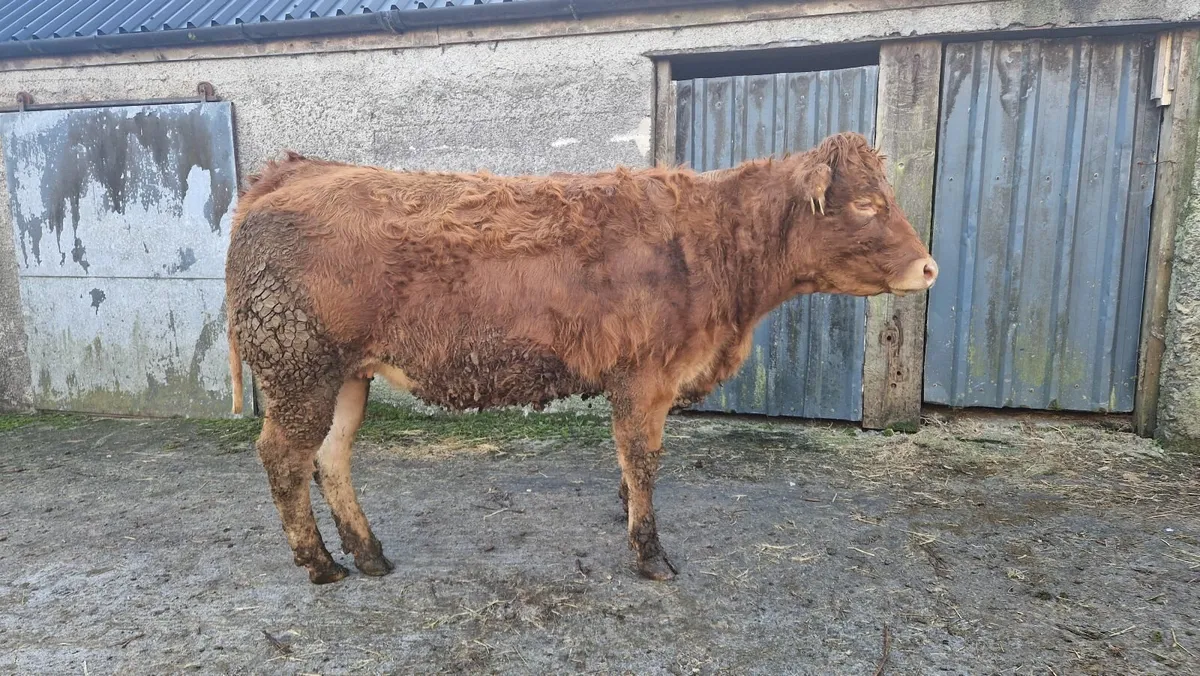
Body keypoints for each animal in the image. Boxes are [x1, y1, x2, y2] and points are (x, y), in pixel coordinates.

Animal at [224, 131, 938, 584]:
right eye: (869, 204)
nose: (929, 267)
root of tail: (296, 170)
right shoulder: (644, 375)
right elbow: (644, 462)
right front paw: (650, 556)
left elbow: (631, 466)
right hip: (299, 369)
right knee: (285, 459)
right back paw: (321, 566)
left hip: (346, 375)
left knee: (330, 459)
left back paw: (370, 556)